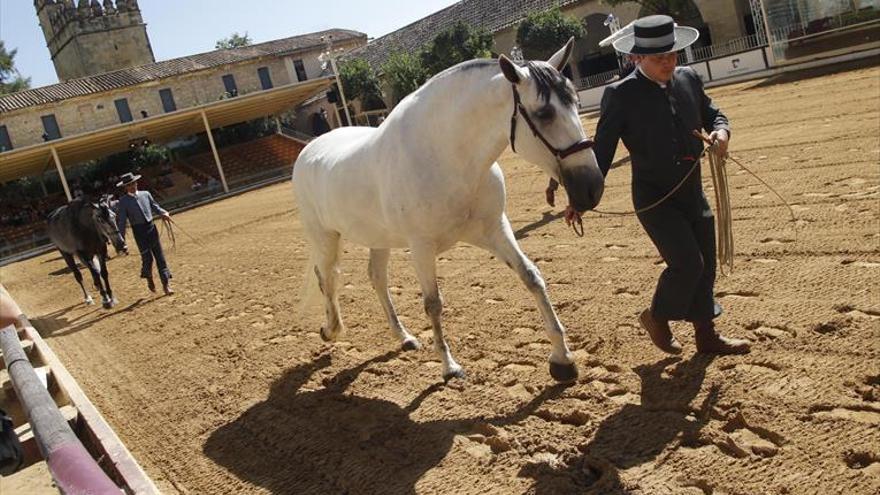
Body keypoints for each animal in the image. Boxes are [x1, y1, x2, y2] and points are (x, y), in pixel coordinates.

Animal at [294, 40, 604, 386]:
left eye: (576, 101)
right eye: (544, 113)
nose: (591, 188)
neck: (446, 155)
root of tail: (308, 150)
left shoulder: (495, 230)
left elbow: (531, 277)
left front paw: (562, 360)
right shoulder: (421, 247)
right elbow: (433, 304)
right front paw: (449, 367)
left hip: (378, 239)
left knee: (377, 279)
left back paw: (404, 337)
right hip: (325, 237)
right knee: (327, 279)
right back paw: (330, 330)